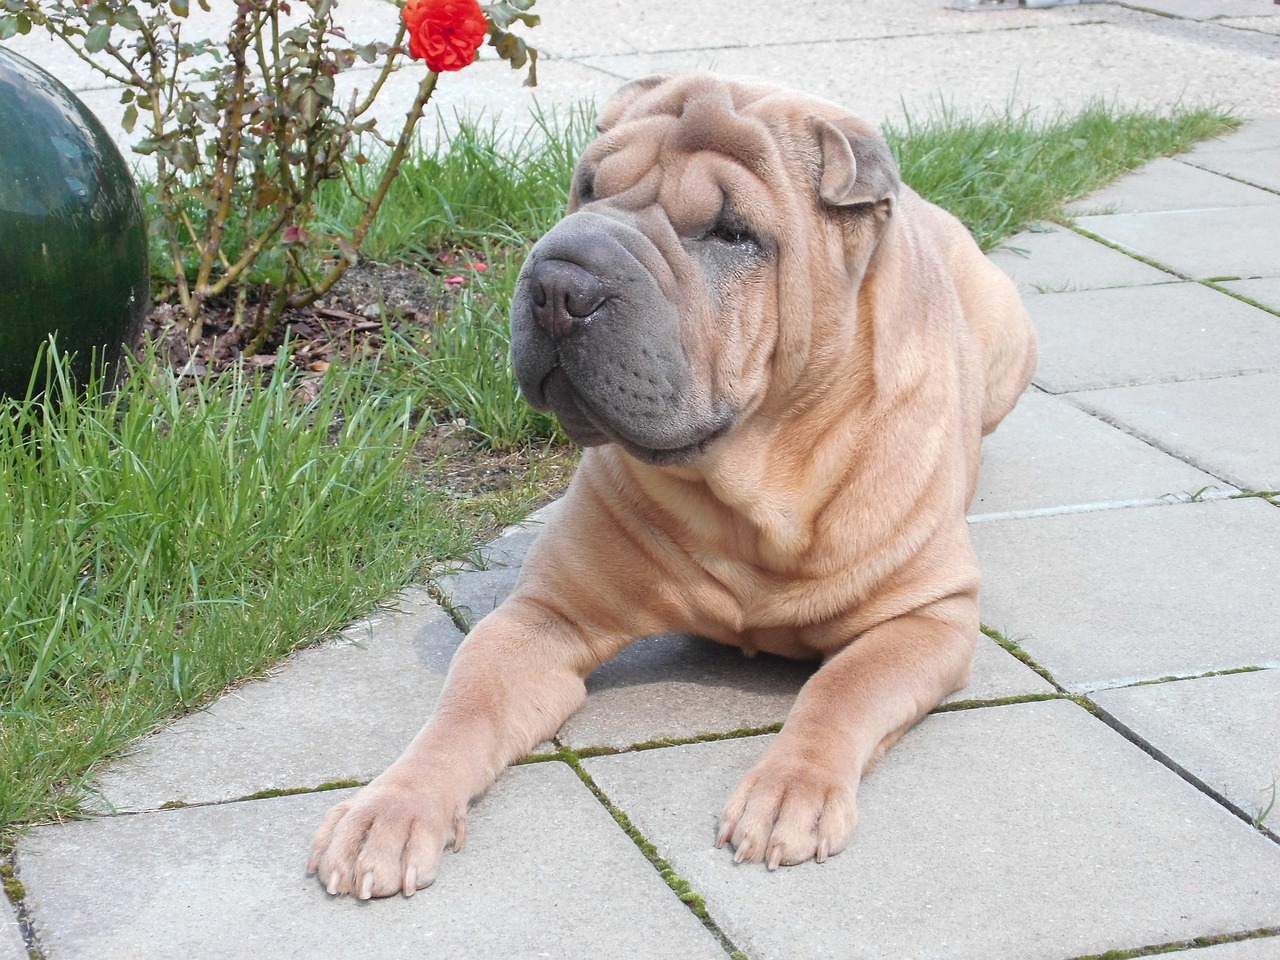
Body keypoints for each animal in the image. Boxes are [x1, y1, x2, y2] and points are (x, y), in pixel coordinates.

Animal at [309, 75, 1039, 901]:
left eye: (731, 234)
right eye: (588, 188)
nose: (559, 282)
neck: (750, 485)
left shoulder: (928, 616)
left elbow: (841, 689)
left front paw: (789, 789)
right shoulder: (543, 617)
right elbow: (464, 708)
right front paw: (390, 810)